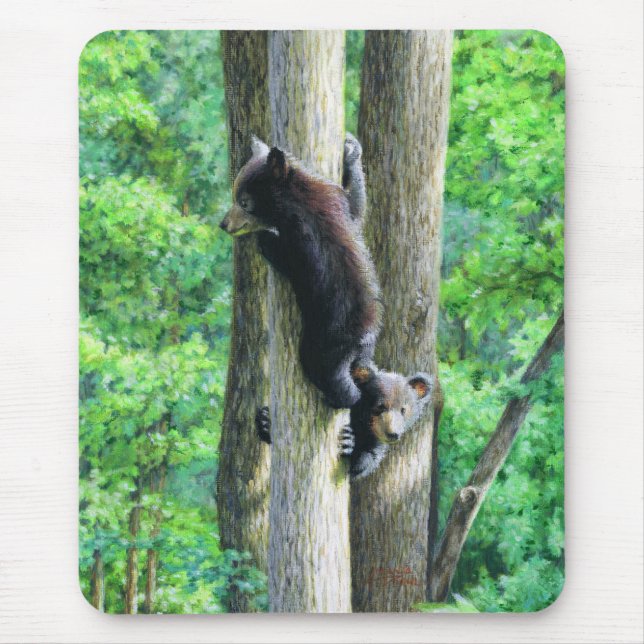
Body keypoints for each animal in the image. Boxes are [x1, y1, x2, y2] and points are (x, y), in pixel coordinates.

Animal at [219, 134, 380, 409]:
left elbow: (288, 258)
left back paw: (339, 398)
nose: (223, 224)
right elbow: (356, 208)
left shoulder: (303, 239)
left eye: (244, 202)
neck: (297, 199)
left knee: (325, 372)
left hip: (325, 342)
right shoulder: (334, 198)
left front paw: (266, 237)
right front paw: (351, 151)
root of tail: (359, 341)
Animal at [256, 366, 440, 480]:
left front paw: (348, 441)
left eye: (403, 409)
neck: (361, 422)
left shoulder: (373, 440)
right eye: (380, 406)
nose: (393, 434)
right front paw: (265, 420)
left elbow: (366, 460)